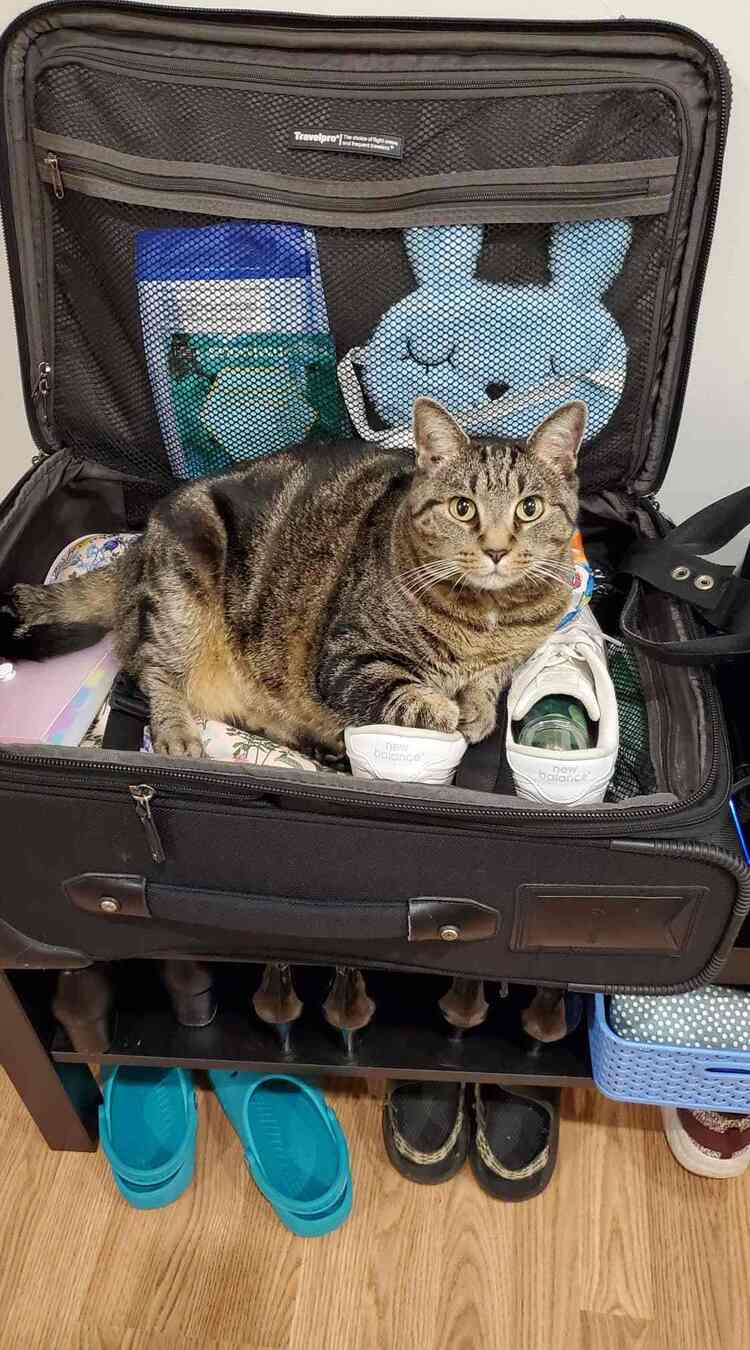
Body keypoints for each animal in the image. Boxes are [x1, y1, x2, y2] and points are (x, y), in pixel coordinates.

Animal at [1, 396, 585, 761]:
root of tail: (137, 547)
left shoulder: (514, 652)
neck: (487, 618)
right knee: (153, 669)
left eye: (529, 508)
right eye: (463, 508)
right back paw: (177, 733)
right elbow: (410, 695)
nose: (496, 550)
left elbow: (491, 679)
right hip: (183, 589)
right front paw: (445, 709)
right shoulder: (348, 659)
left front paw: (479, 708)